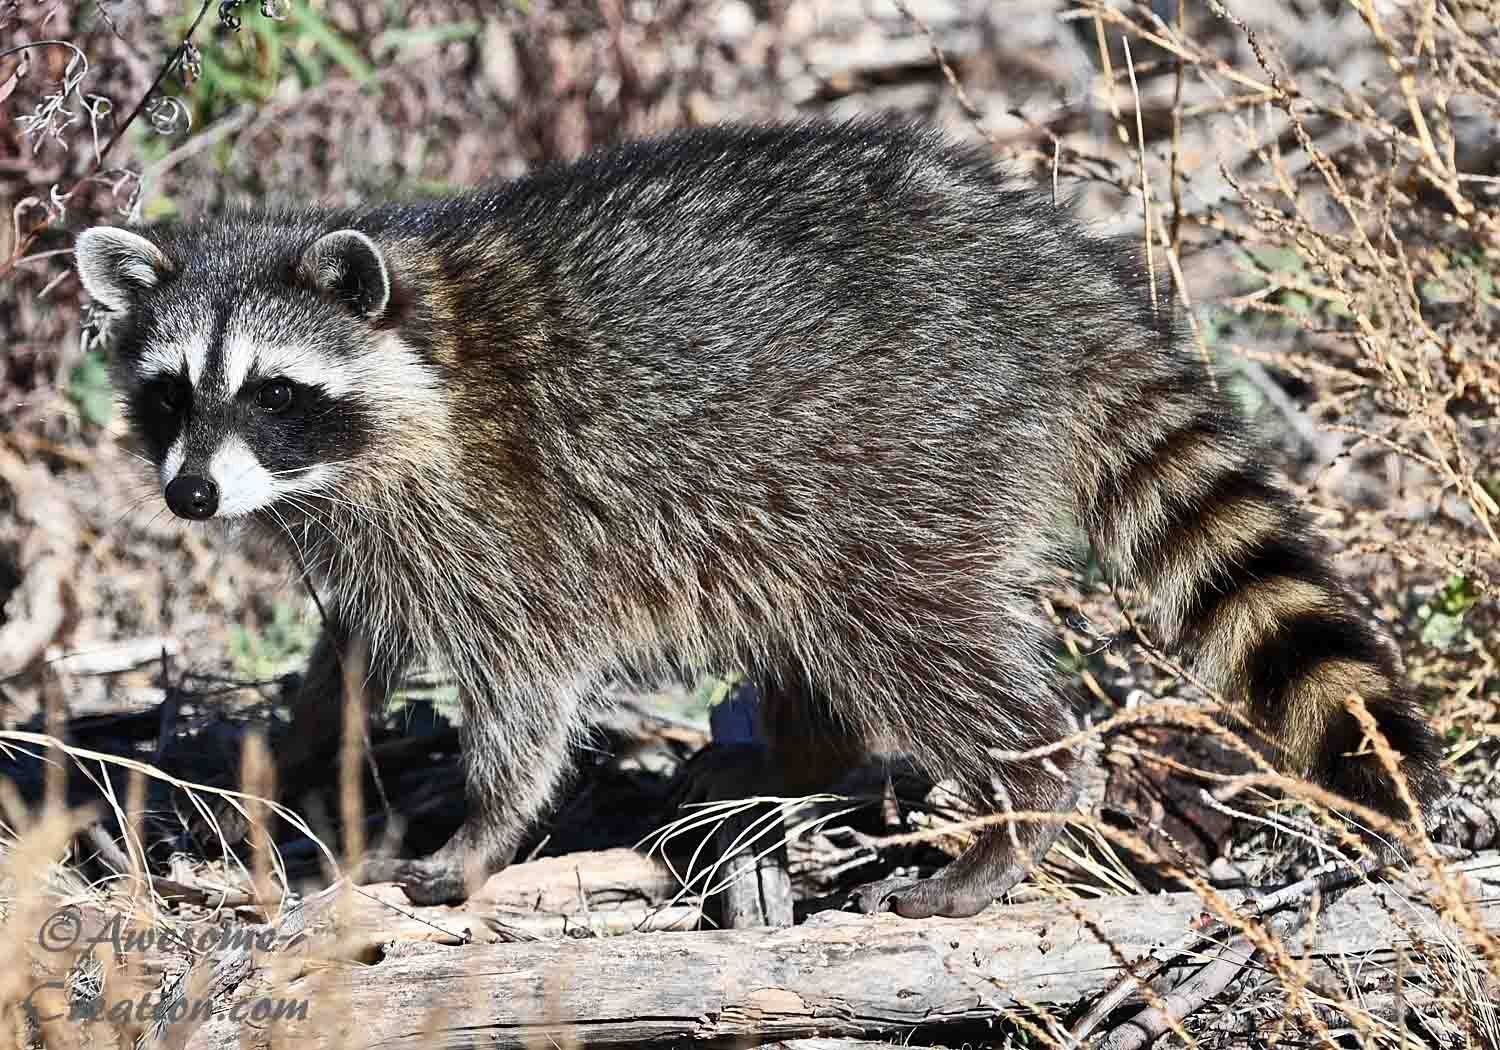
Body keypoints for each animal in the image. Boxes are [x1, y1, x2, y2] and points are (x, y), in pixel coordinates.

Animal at [74, 119, 1446, 915]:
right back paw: (794, 762)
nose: (191, 494)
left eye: (274, 393)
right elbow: (357, 647)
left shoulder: (504, 516)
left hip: (900, 446)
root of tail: (1042, 270)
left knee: (903, 629)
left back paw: (1026, 792)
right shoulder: (376, 530)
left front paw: (481, 828)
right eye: (171, 392)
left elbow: (527, 685)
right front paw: (298, 751)